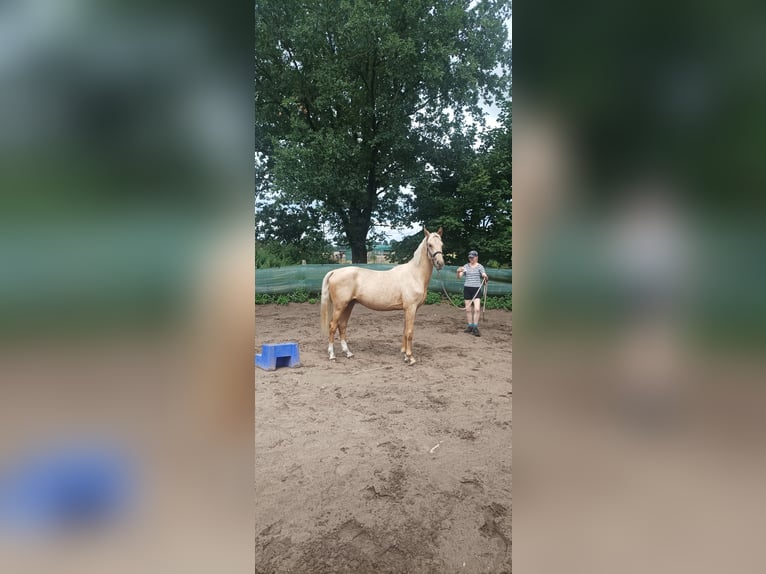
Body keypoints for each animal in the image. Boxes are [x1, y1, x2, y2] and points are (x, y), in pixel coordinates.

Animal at [320, 228, 448, 366]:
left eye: (442, 244)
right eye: (430, 245)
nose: (440, 263)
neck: (414, 275)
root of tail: (335, 272)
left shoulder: (407, 310)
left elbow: (404, 331)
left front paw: (404, 356)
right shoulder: (411, 308)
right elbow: (409, 332)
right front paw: (411, 358)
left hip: (349, 305)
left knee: (342, 325)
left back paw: (348, 353)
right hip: (339, 306)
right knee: (333, 326)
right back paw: (332, 355)